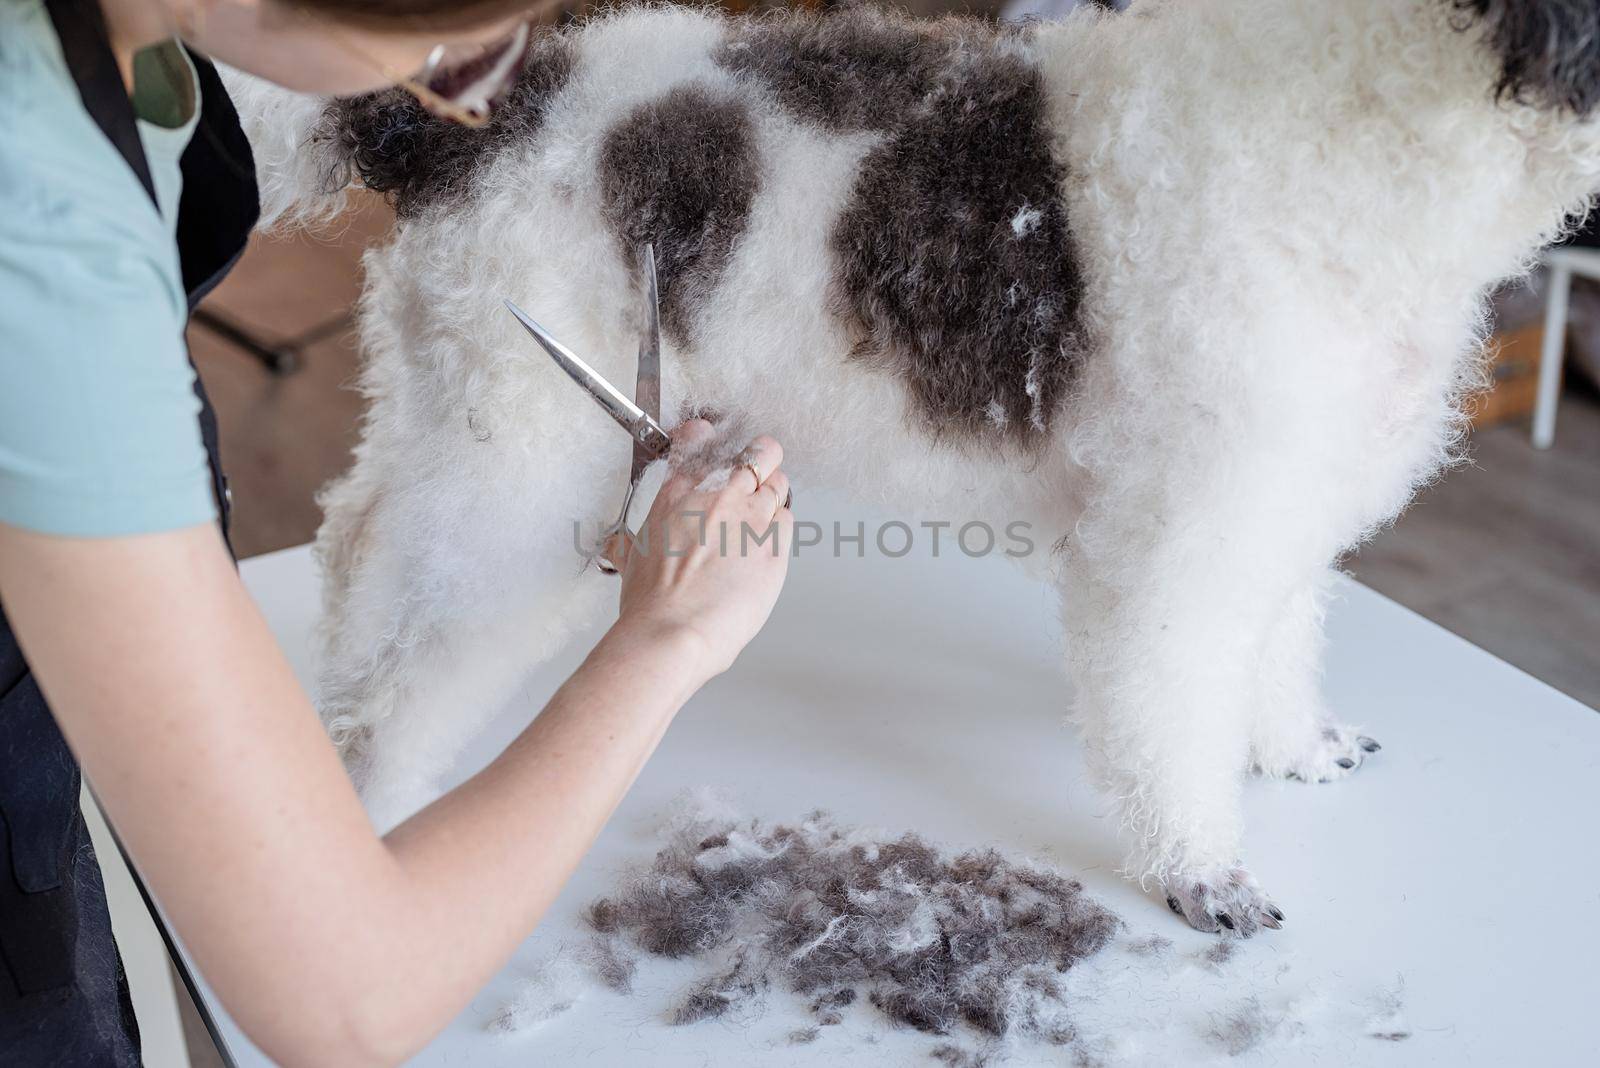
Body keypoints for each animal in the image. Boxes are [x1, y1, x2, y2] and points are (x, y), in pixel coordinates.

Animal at [233, 0, 1600, 933]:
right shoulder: (1176, 536)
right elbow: (1168, 708)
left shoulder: (1277, 487)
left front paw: (1291, 746)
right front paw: (1196, 870)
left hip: (454, 399)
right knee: (411, 669)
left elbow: (1273, 642)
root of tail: (476, 117)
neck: (1358, 125)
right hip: (524, 456)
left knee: (357, 544)